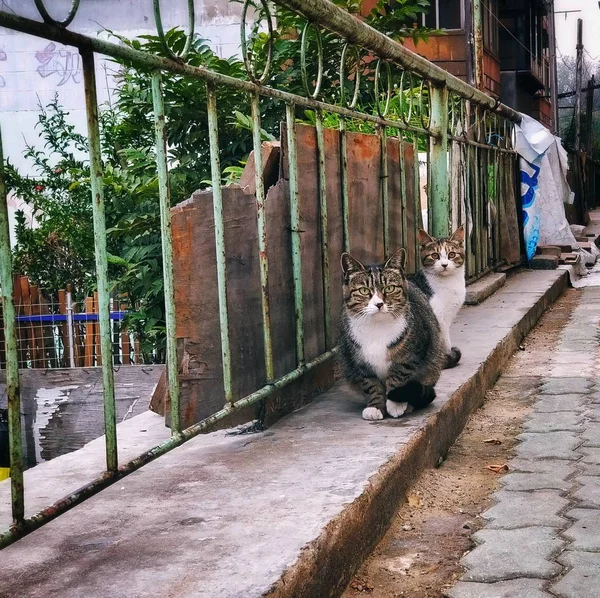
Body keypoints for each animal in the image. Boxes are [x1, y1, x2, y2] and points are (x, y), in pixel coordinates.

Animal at [338, 250, 446, 422]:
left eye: (389, 288)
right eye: (364, 291)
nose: (379, 304)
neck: (377, 328)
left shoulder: (410, 356)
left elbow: (398, 377)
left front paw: (395, 404)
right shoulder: (361, 363)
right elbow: (371, 385)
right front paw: (375, 407)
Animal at [410, 227, 466, 370]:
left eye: (452, 254)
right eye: (435, 256)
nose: (444, 265)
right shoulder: (439, 317)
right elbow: (444, 340)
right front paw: (446, 356)